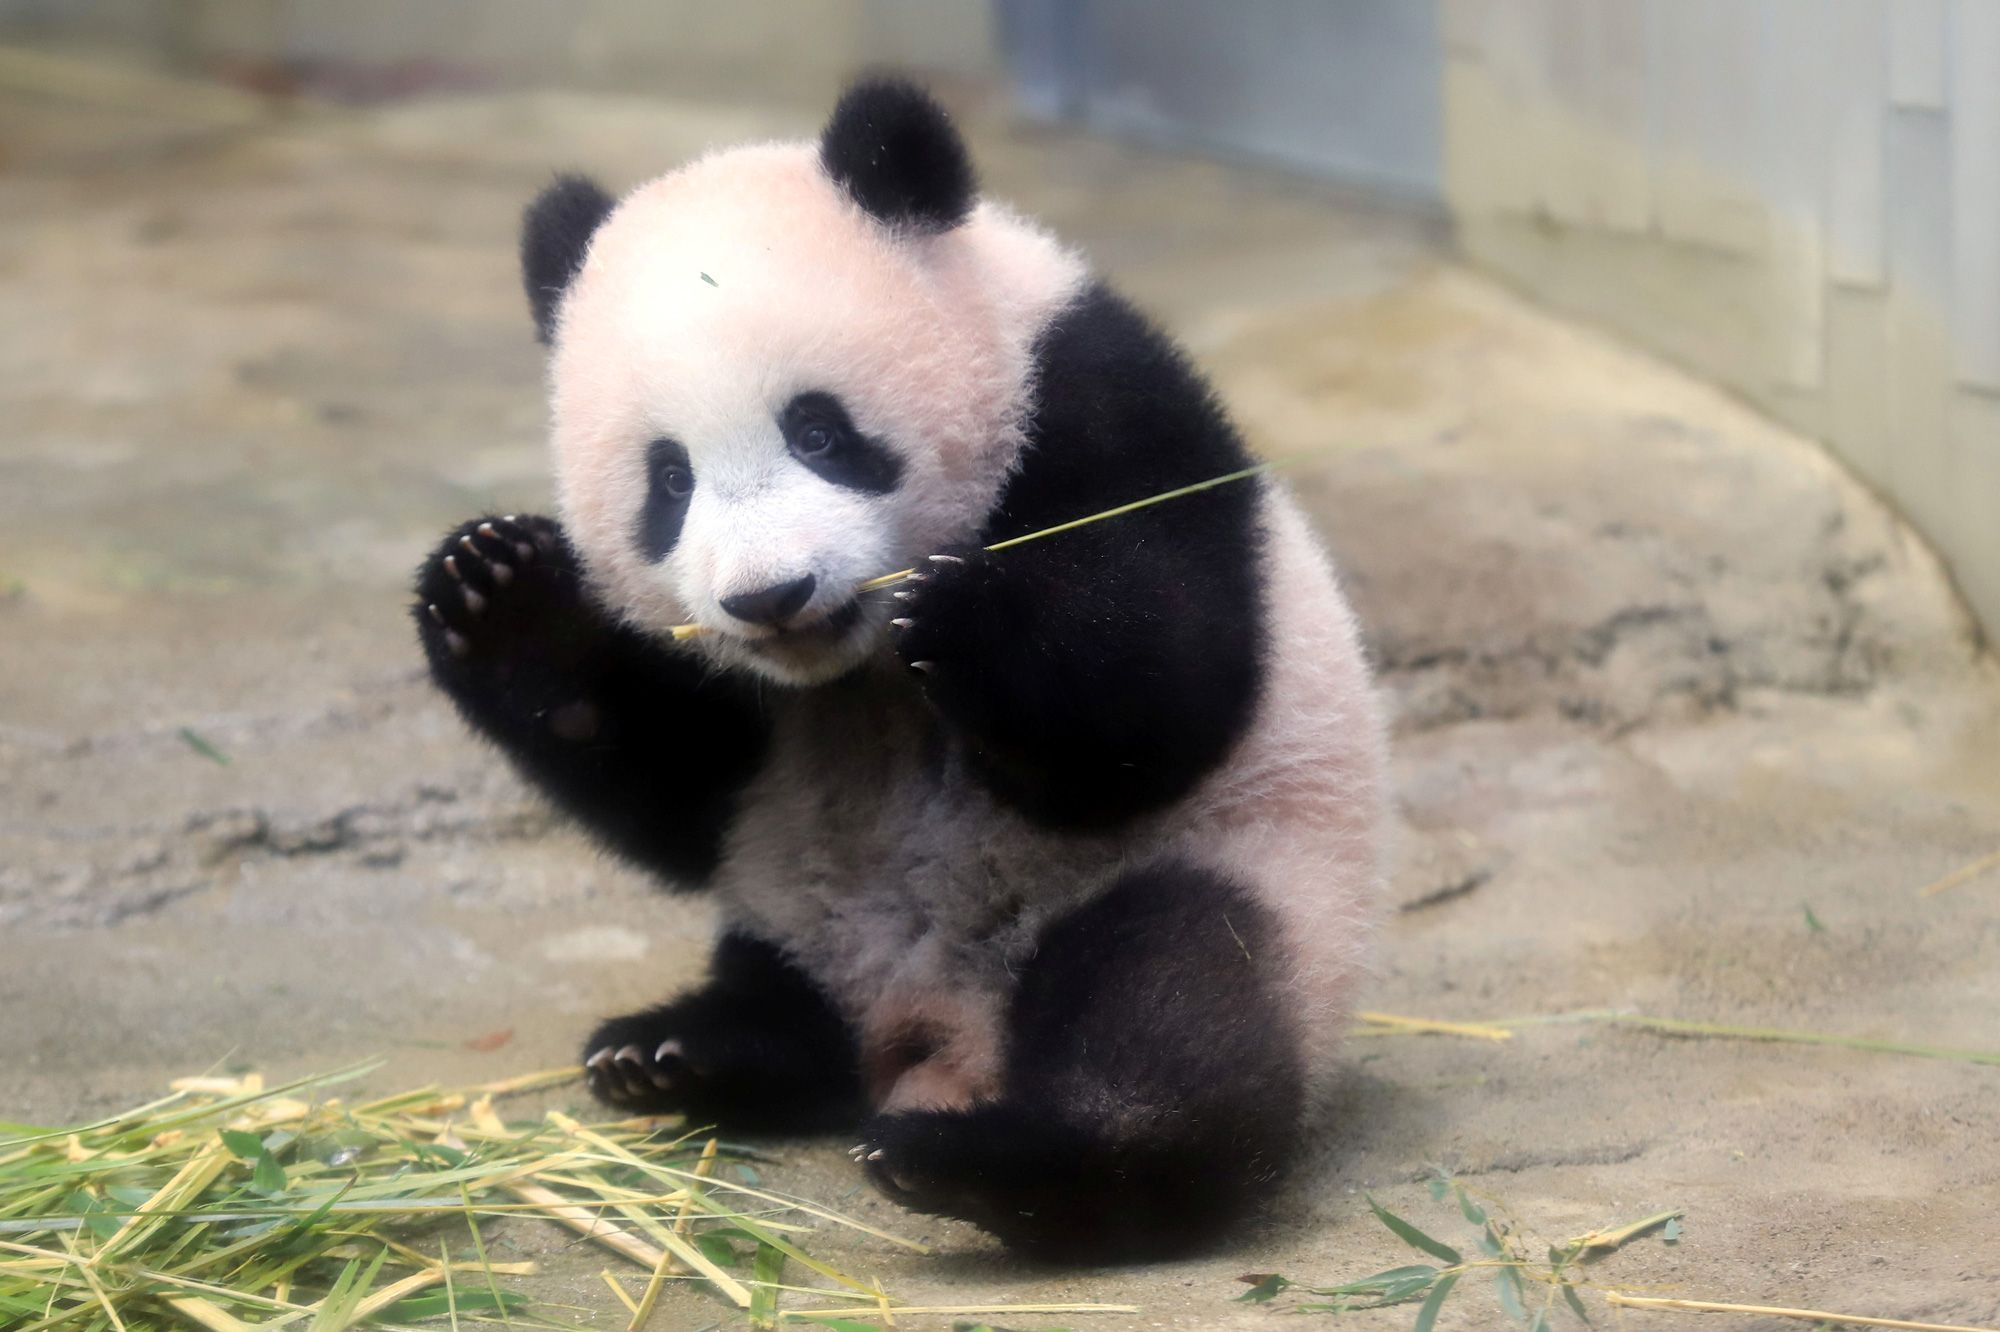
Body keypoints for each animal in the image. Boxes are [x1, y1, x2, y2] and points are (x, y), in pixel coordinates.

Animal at [414, 75, 1384, 1256]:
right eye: (669, 480)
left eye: (819, 431)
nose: (770, 596)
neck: (855, 670)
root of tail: (930, 1033)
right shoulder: (746, 741)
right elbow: (679, 791)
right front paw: (499, 590)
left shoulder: (1097, 403)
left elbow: (1165, 696)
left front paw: (961, 614)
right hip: (795, 905)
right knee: (790, 1015)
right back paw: (679, 1052)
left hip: (1238, 873)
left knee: (1169, 1008)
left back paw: (989, 1161)